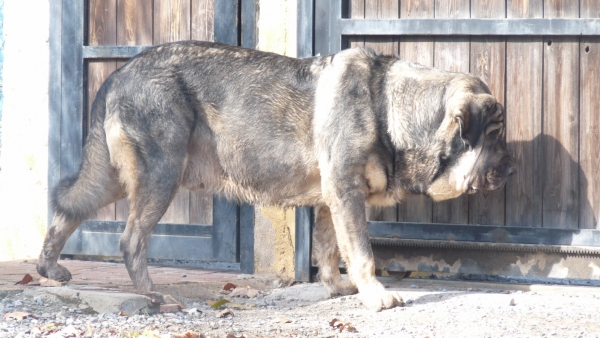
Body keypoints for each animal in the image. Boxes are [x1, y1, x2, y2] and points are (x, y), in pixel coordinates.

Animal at [38, 41, 516, 312]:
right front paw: (376, 296)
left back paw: (48, 268)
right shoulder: (346, 194)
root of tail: (120, 72)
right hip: (160, 174)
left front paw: (336, 287)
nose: (512, 169)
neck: (389, 107)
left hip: (115, 177)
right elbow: (361, 252)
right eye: (494, 134)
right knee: (130, 241)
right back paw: (154, 295)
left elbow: (329, 250)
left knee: (68, 211)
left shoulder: (331, 200)